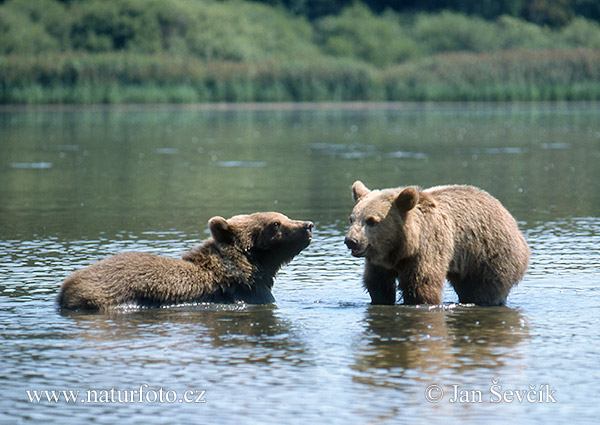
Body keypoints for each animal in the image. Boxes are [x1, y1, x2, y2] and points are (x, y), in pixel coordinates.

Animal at [344, 181, 528, 306]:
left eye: (371, 221)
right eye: (352, 218)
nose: (351, 241)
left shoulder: (428, 247)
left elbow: (421, 285)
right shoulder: (379, 263)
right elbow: (378, 284)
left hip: (489, 255)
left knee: (486, 289)